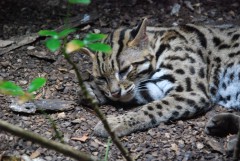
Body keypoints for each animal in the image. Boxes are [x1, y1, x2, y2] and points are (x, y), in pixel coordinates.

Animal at [79, 18, 240, 137]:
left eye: (124, 70)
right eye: (101, 78)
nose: (114, 93)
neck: (158, 45)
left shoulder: (192, 92)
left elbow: (151, 108)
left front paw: (114, 123)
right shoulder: (156, 87)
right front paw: (91, 91)